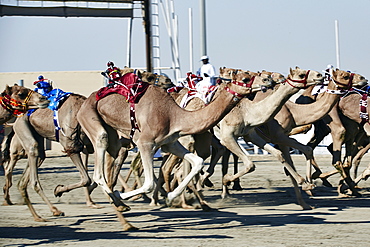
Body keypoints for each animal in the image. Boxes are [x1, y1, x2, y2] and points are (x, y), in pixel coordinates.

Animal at [77, 69, 258, 230]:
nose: (264, 83)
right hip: (90, 119)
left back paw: (121, 209)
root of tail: (87, 99)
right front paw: (119, 195)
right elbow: (149, 182)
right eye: (246, 78)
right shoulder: (145, 143)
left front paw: (171, 197)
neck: (174, 116)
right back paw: (118, 202)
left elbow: (198, 162)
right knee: (100, 164)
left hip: (113, 137)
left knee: (108, 168)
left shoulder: (169, 142)